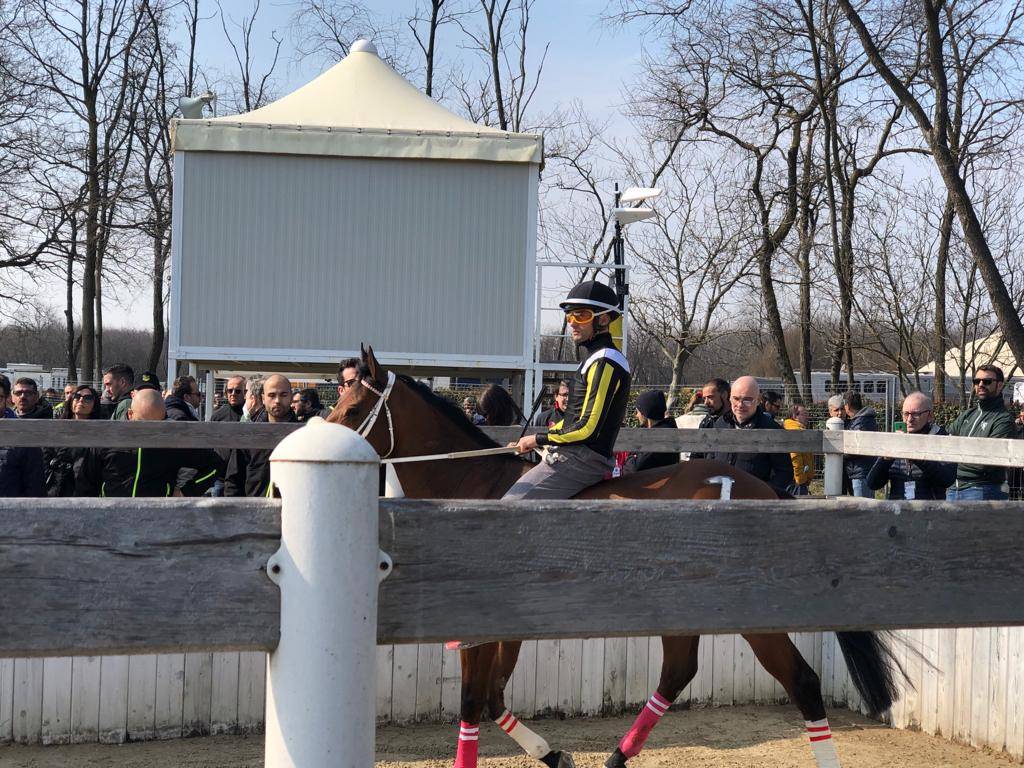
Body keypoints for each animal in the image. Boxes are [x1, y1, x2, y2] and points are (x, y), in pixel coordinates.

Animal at [325, 348, 897, 768]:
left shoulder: (477, 632)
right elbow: (492, 699)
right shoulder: (507, 632)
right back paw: (616, 758)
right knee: (677, 673)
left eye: (351, 409)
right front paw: (553, 754)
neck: (473, 484)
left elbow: (470, 704)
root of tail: (761, 489)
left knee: (801, 682)